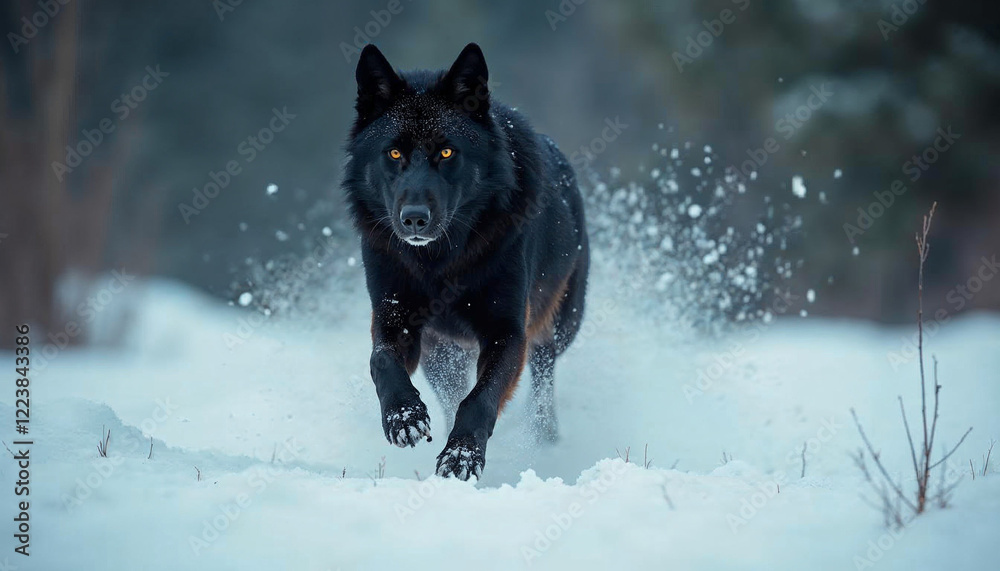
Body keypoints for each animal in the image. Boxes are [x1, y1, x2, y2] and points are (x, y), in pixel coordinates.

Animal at [343, 43, 589, 480]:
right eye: (393, 152)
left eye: (446, 151)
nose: (415, 218)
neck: (440, 263)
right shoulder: (394, 319)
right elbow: (381, 361)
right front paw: (404, 417)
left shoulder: (508, 332)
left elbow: (480, 398)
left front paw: (462, 455)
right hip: (443, 356)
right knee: (450, 395)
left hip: (558, 327)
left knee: (543, 382)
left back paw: (544, 442)